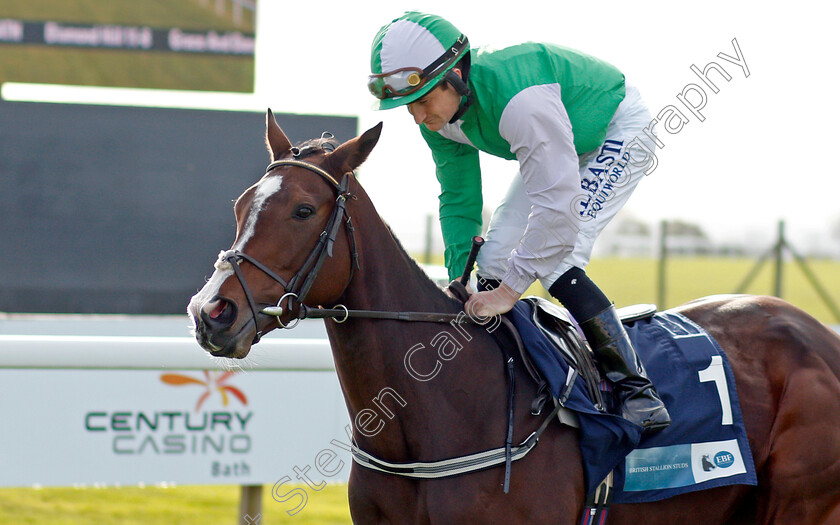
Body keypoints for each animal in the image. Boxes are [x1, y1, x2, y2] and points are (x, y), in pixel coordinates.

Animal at [187, 111, 840, 524]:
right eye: (241, 205)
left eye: (302, 210)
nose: (211, 311)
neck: (437, 409)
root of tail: (819, 337)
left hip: (800, 505)